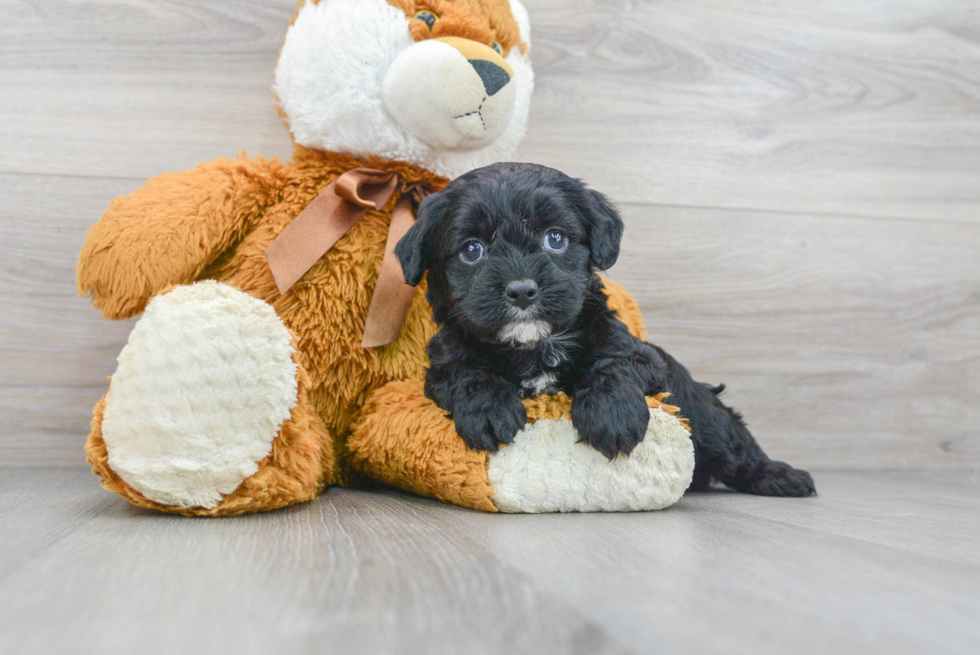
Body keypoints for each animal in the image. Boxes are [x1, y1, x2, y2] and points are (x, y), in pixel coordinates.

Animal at [394, 163, 816, 498]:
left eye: (556, 239)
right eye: (472, 250)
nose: (522, 290)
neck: (534, 346)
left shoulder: (639, 354)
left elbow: (614, 364)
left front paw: (612, 416)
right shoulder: (443, 363)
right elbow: (467, 370)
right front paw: (489, 408)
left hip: (708, 418)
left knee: (734, 443)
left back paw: (781, 476)